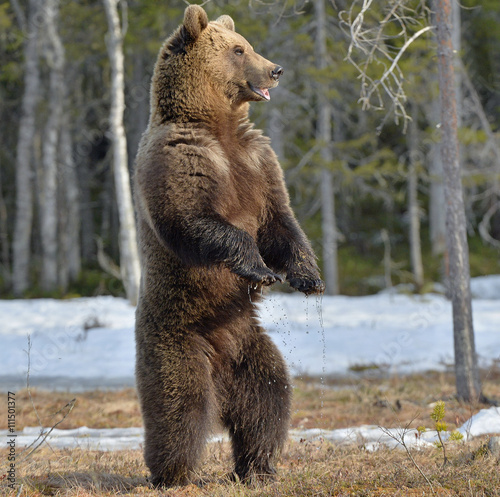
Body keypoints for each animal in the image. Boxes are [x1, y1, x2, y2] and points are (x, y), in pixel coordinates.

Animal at [133, 3, 324, 486]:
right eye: (239, 50)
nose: (275, 69)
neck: (218, 124)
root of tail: (220, 374)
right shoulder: (181, 158)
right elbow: (194, 220)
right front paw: (260, 268)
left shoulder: (258, 162)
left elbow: (281, 223)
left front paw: (308, 277)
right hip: (177, 336)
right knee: (179, 407)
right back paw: (173, 473)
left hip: (249, 345)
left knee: (268, 399)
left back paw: (259, 466)